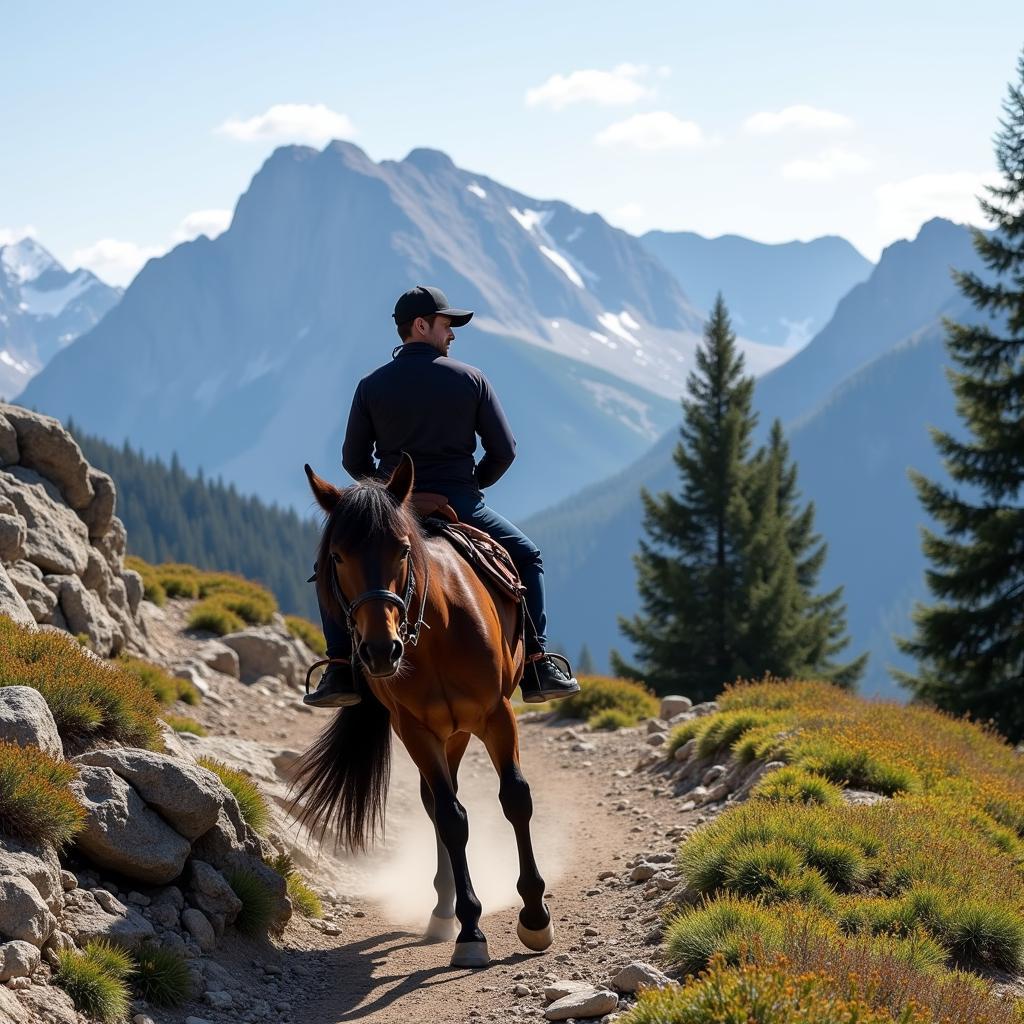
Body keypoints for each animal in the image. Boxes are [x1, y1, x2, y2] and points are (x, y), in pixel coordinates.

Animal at [292, 456, 557, 966]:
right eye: (337, 557)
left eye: (401, 551)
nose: (380, 651)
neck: (437, 633)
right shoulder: (415, 730)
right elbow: (452, 819)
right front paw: (470, 928)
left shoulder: (497, 716)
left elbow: (516, 799)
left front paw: (535, 917)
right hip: (437, 735)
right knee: (439, 804)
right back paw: (443, 909)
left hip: (459, 732)